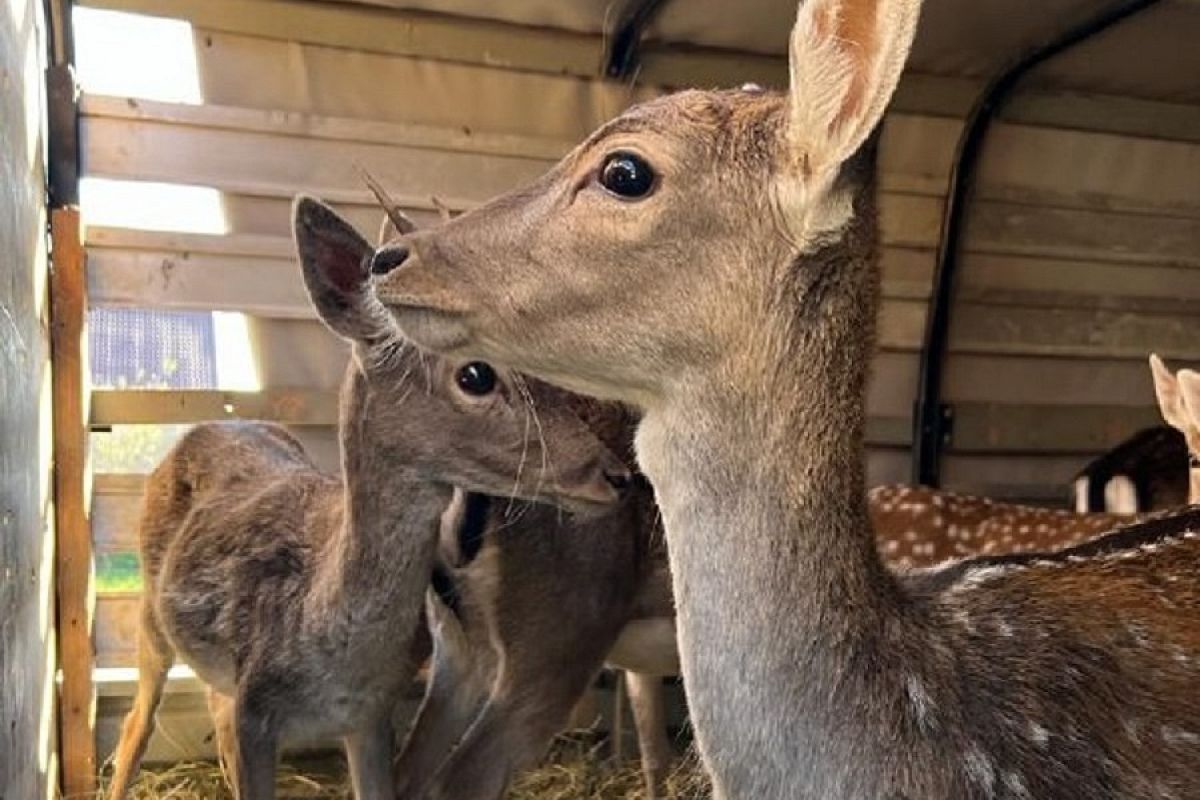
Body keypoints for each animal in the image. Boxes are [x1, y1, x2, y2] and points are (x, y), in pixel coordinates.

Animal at [104, 199, 633, 800]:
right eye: (476, 373)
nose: (615, 474)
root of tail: (205, 426)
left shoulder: (370, 717)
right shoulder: (257, 713)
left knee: (211, 708)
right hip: (148, 612)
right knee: (136, 721)